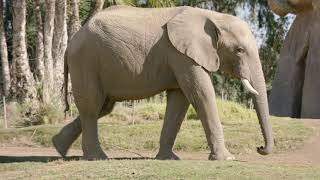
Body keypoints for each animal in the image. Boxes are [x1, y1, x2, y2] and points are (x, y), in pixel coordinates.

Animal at [51, 5, 274, 160]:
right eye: (239, 50)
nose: (260, 148)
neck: (212, 16)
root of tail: (71, 42)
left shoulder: (181, 56)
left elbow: (180, 101)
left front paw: (169, 158)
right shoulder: (182, 55)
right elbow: (201, 94)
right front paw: (227, 159)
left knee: (103, 106)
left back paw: (58, 147)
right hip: (86, 61)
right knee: (92, 105)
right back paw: (97, 158)